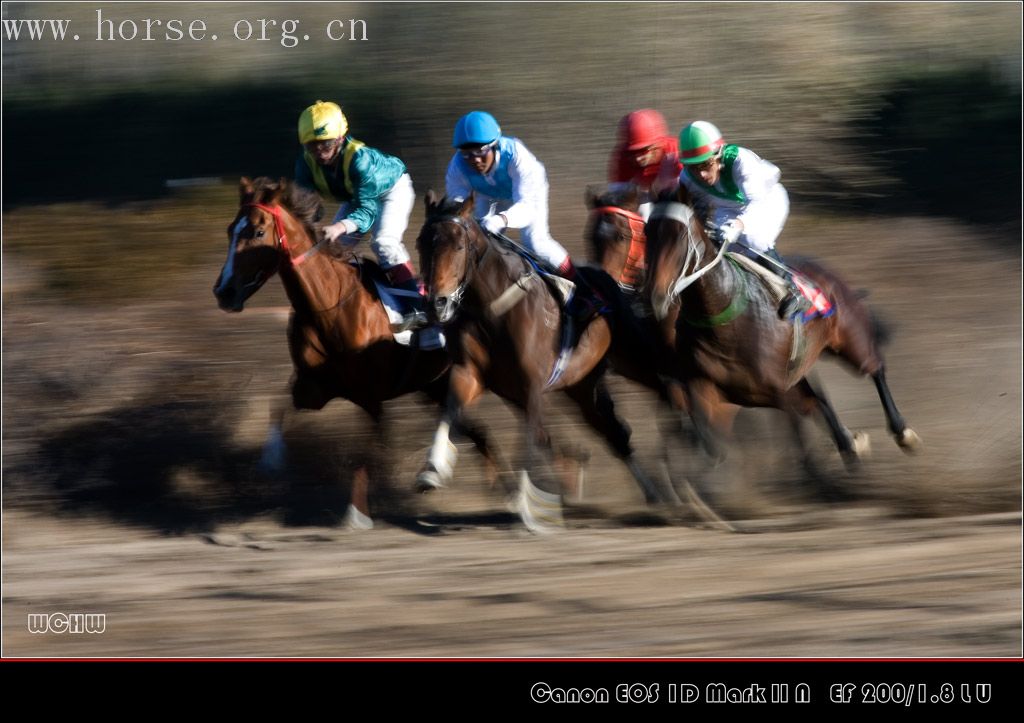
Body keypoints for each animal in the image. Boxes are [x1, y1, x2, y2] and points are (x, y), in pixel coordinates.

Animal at [210, 174, 503, 524]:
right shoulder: (314, 387)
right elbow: (278, 406)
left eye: (257, 232)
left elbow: (367, 449)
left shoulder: (370, 396)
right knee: (480, 433)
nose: (224, 292)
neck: (328, 307)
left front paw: (357, 513)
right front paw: (271, 460)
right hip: (435, 386)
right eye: (230, 230)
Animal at [411, 188, 675, 524]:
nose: (437, 304)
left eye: (458, 245)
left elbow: (530, 438)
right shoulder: (470, 373)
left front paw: (528, 506)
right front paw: (431, 470)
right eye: (421, 244)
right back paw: (655, 492)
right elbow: (450, 410)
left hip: (633, 359)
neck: (490, 308)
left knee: (664, 387)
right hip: (582, 387)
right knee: (613, 431)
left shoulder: (533, 384)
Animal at [643, 188, 925, 479]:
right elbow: (711, 448)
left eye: (678, 236)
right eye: (647, 233)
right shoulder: (705, 389)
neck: (725, 325)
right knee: (821, 399)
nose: (655, 295)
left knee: (875, 368)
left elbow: (802, 444)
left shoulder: (781, 393)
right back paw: (849, 443)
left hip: (849, 341)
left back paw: (902, 433)